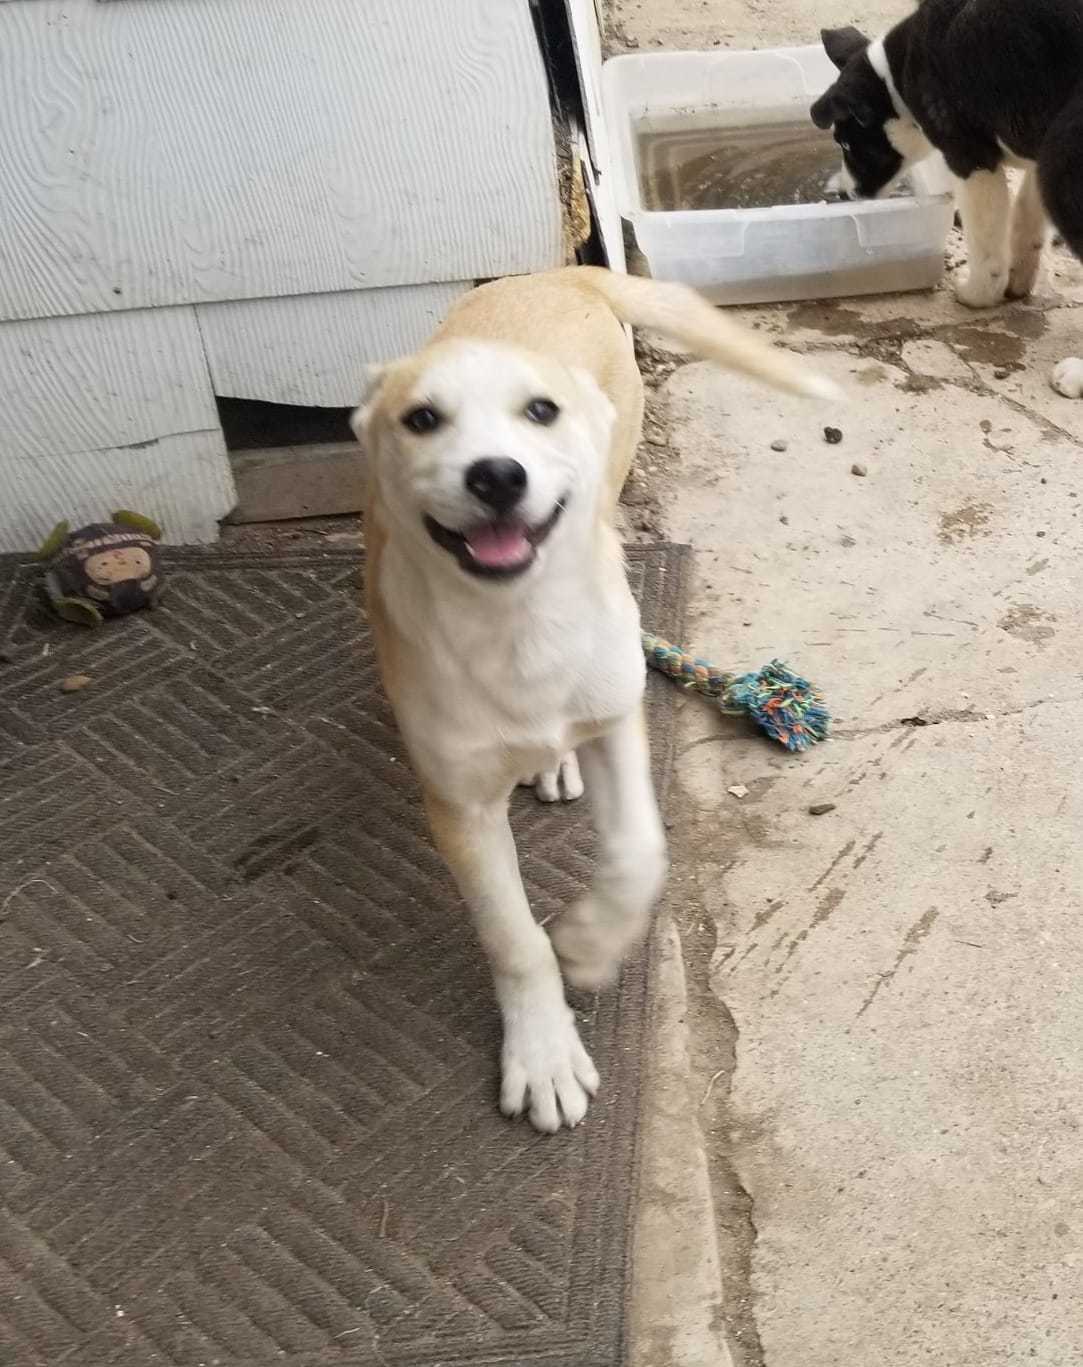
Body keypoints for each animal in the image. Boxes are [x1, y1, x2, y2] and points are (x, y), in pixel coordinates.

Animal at [350, 266, 831, 1131]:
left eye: (540, 410)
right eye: (422, 419)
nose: (496, 475)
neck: (518, 621)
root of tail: (557, 271)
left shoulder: (615, 716)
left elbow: (639, 851)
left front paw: (590, 943)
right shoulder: (459, 803)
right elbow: (512, 938)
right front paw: (543, 1052)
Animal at [809, 0, 1083, 396]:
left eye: (846, 143)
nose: (846, 194)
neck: (898, 75)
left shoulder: (970, 157)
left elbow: (987, 246)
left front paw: (978, 294)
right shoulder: (1035, 150)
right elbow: (1025, 219)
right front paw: (1018, 281)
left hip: (1063, 160)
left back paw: (1075, 374)